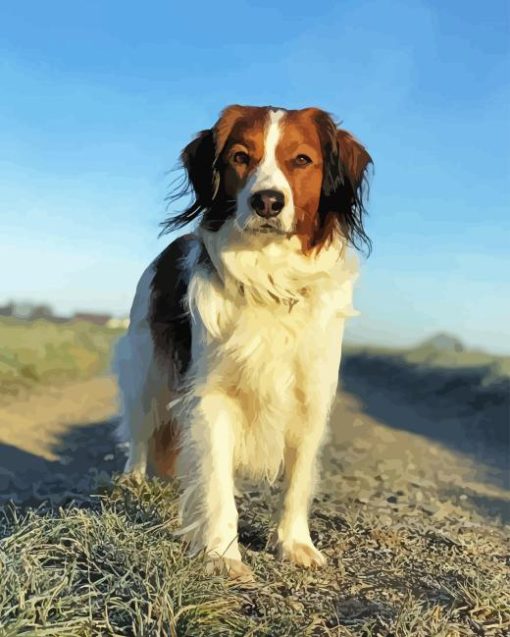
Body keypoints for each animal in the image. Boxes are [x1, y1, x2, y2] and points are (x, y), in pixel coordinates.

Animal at [114, 104, 370, 576]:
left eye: (302, 160)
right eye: (239, 157)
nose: (267, 201)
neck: (270, 280)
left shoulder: (311, 396)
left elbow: (297, 480)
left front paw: (294, 543)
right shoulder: (211, 396)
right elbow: (215, 480)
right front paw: (221, 553)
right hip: (147, 370)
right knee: (140, 429)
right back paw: (131, 478)